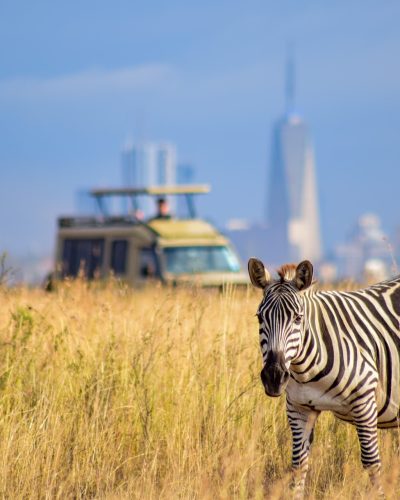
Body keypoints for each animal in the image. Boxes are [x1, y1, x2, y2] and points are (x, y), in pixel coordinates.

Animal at [248, 258, 398, 500]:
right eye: (260, 317)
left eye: (298, 318)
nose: (274, 377)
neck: (305, 370)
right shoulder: (298, 408)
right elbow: (298, 466)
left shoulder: (365, 401)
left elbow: (372, 464)